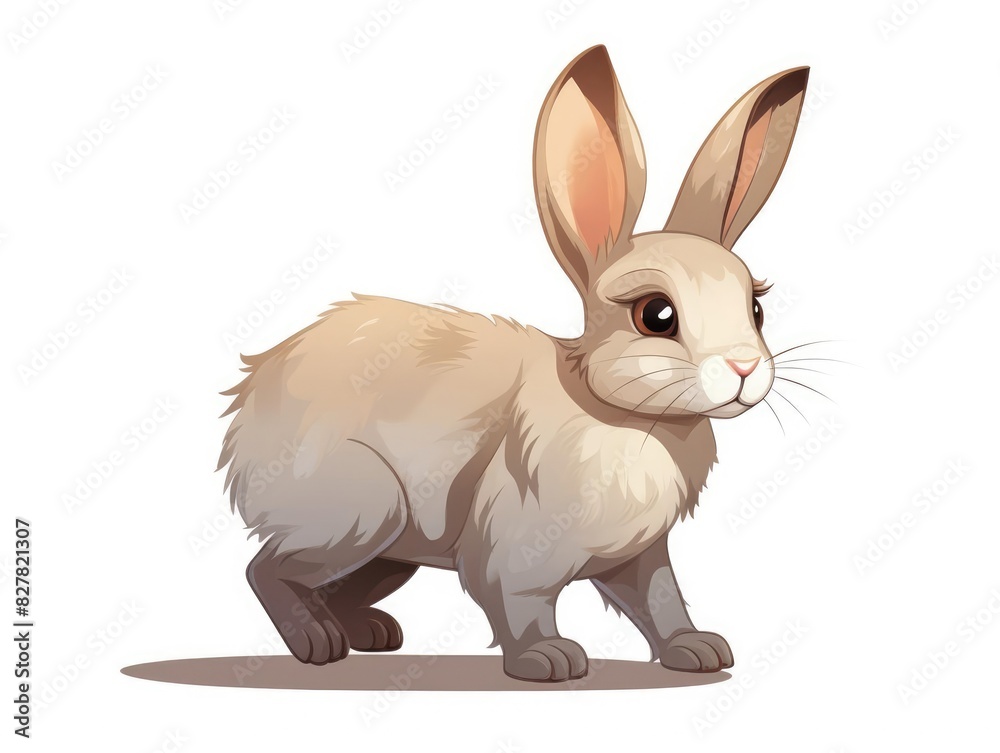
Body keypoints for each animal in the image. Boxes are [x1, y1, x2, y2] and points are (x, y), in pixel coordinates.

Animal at [218, 44, 809, 682]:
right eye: (656, 314)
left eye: (756, 308)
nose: (744, 369)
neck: (622, 414)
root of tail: (246, 413)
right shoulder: (514, 542)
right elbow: (518, 602)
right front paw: (549, 661)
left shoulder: (640, 554)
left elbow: (661, 598)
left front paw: (698, 650)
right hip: (365, 511)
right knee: (266, 569)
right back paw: (316, 644)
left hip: (394, 548)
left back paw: (370, 633)